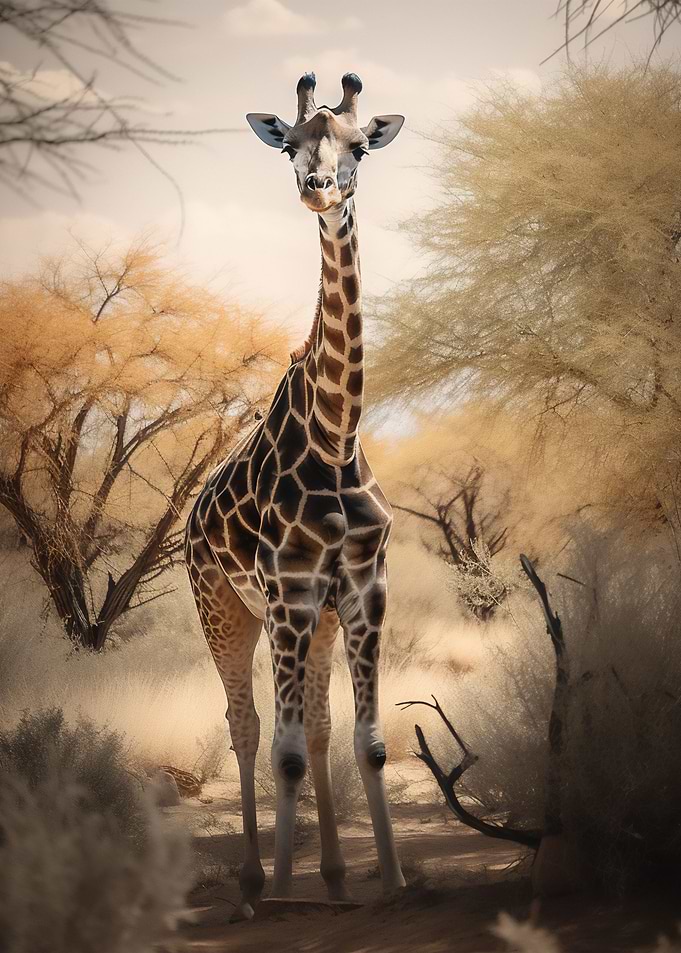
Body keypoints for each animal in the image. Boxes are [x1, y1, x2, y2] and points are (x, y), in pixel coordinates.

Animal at [185, 71, 405, 920]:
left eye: (357, 148)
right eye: (290, 147)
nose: (318, 187)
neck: (337, 434)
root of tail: (187, 520)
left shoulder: (362, 588)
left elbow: (364, 741)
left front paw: (395, 880)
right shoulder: (285, 592)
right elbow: (278, 752)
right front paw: (282, 891)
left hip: (310, 622)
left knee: (310, 729)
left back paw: (337, 879)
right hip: (224, 608)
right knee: (245, 727)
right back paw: (254, 883)